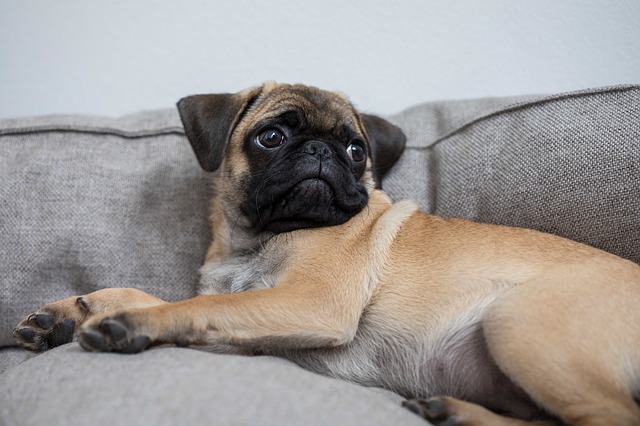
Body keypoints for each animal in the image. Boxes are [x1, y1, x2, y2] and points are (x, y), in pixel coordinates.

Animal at [12, 81, 640, 424]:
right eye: (271, 137)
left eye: (356, 148)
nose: (320, 150)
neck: (259, 240)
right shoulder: (250, 310)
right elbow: (155, 294)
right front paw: (68, 312)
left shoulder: (307, 303)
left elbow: (190, 308)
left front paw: (127, 323)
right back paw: (455, 412)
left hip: (518, 320)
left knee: (610, 418)